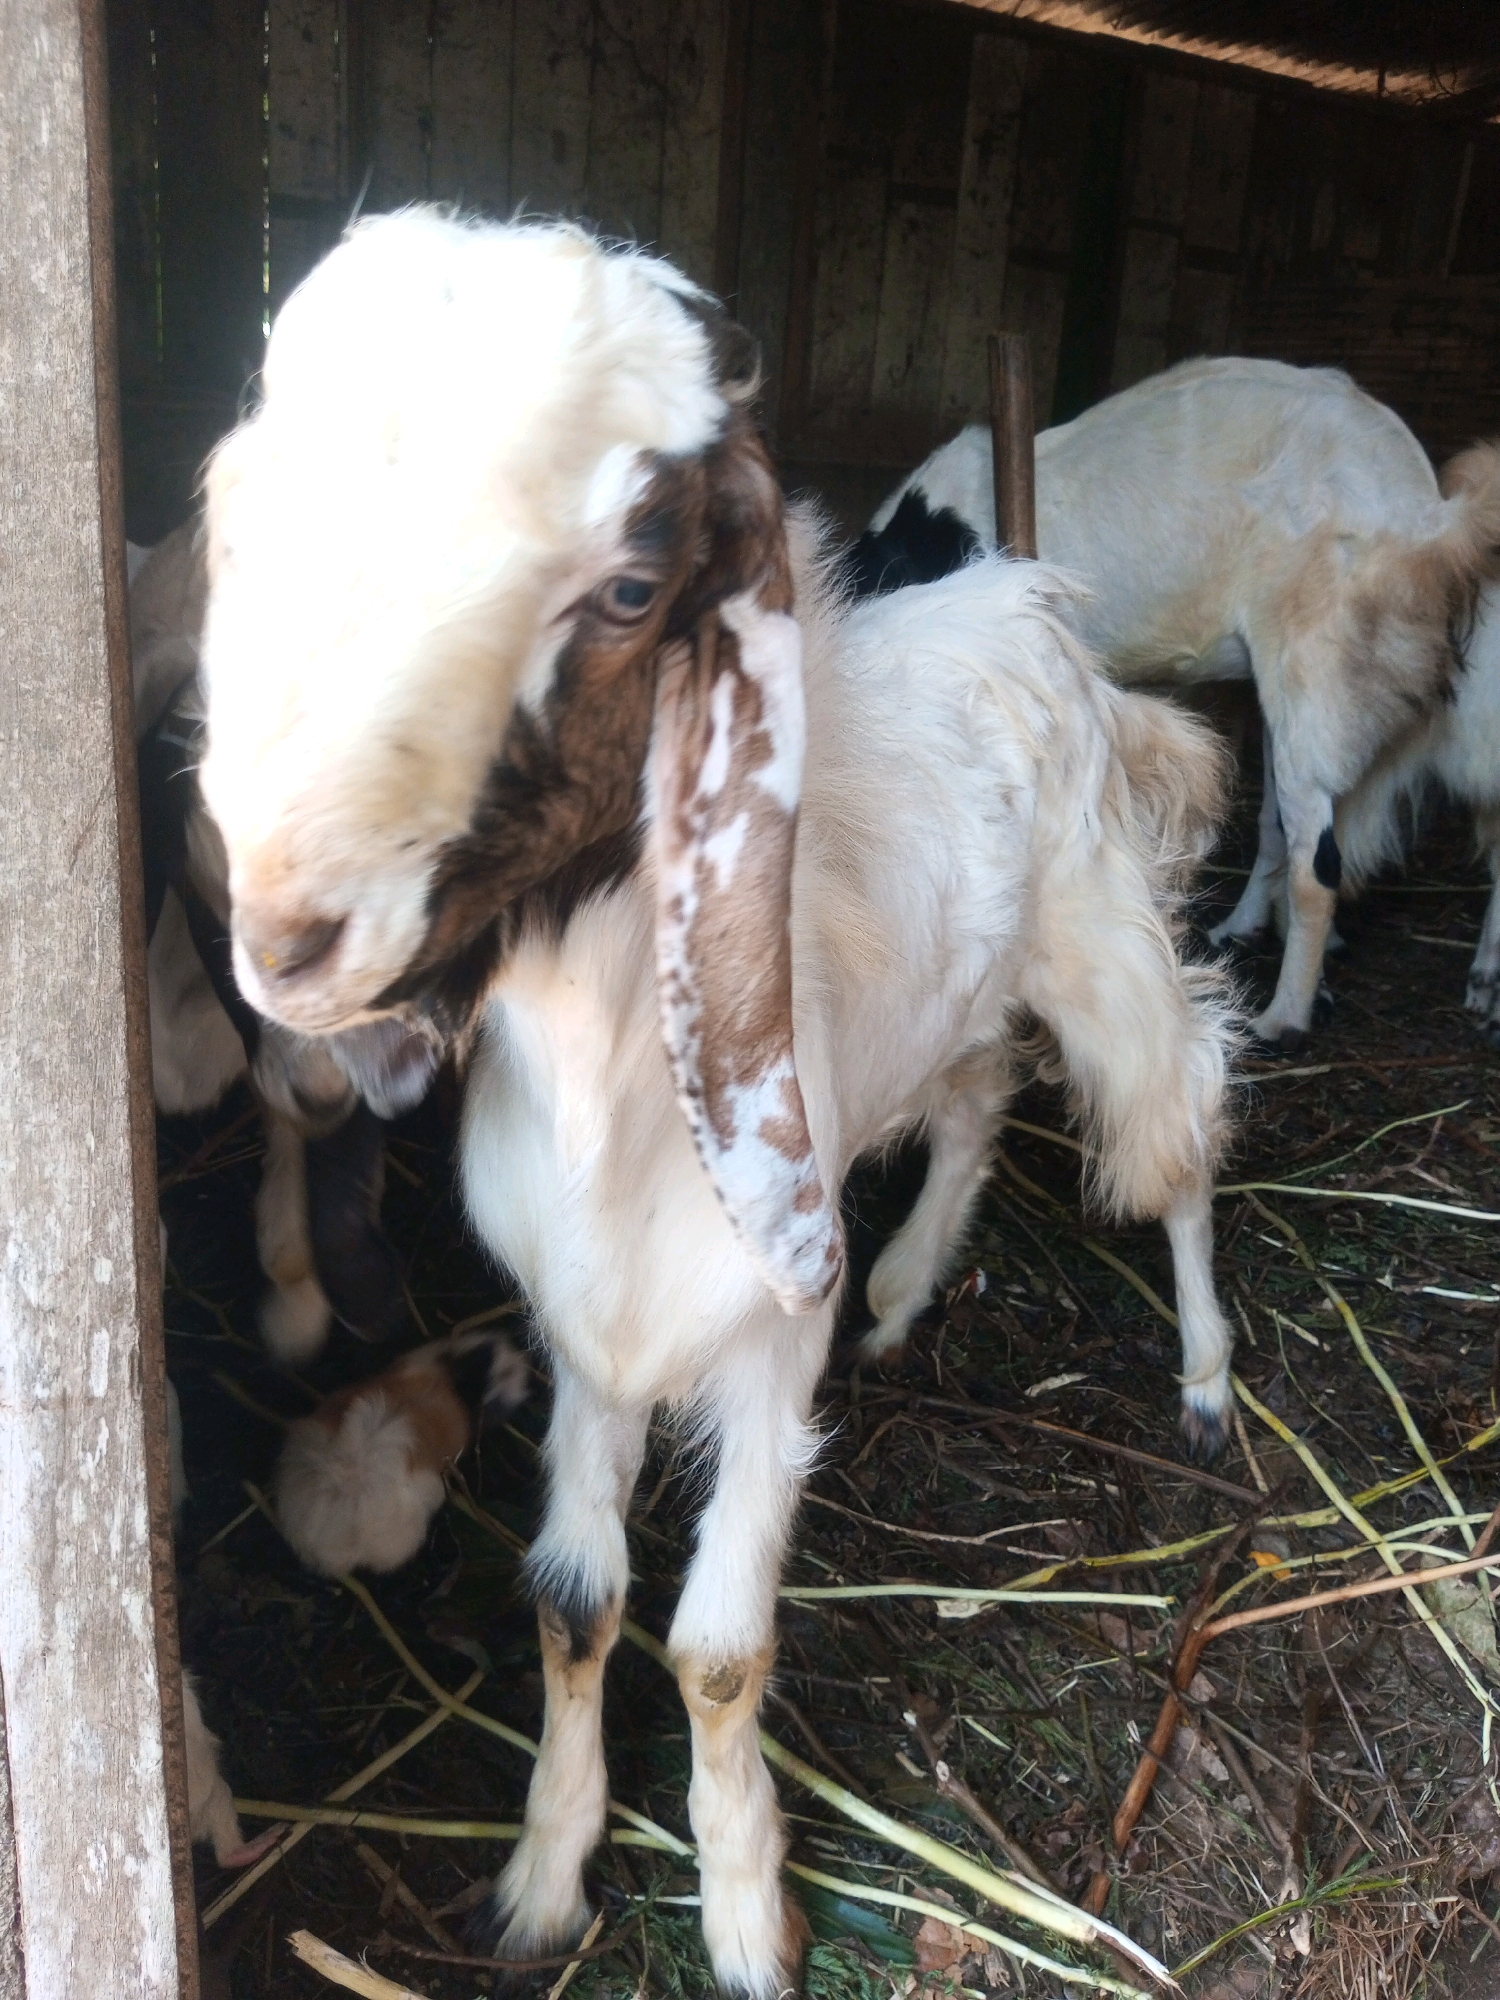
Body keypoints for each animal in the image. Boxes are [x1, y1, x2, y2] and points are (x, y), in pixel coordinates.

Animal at [194, 209, 1232, 1996]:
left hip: (1105, 951)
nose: (287, 929)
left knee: (1178, 1137)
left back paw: (1212, 1380)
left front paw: (750, 1909)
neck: (617, 1095)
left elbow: (723, 1649)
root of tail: (1029, 607)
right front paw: (545, 1876)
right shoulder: (588, 1332)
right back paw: (905, 1289)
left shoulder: (760, 1340)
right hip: (952, 1005)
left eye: (628, 588)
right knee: (976, 1097)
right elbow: (573, 1604)